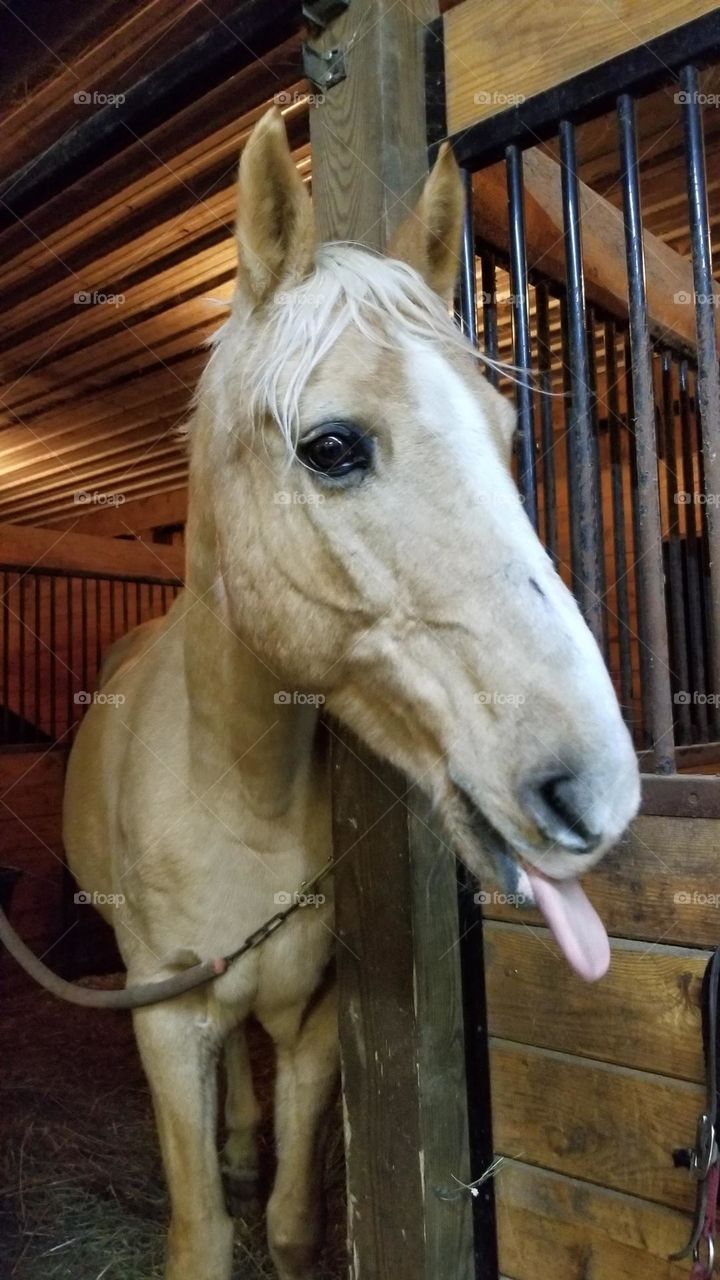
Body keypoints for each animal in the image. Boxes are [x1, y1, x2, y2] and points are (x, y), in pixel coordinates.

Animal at [64, 110, 638, 1280]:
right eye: (332, 445)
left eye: (507, 439)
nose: (595, 790)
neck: (236, 789)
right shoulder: (164, 1021)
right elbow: (203, 1236)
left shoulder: (318, 1017)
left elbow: (289, 1221)